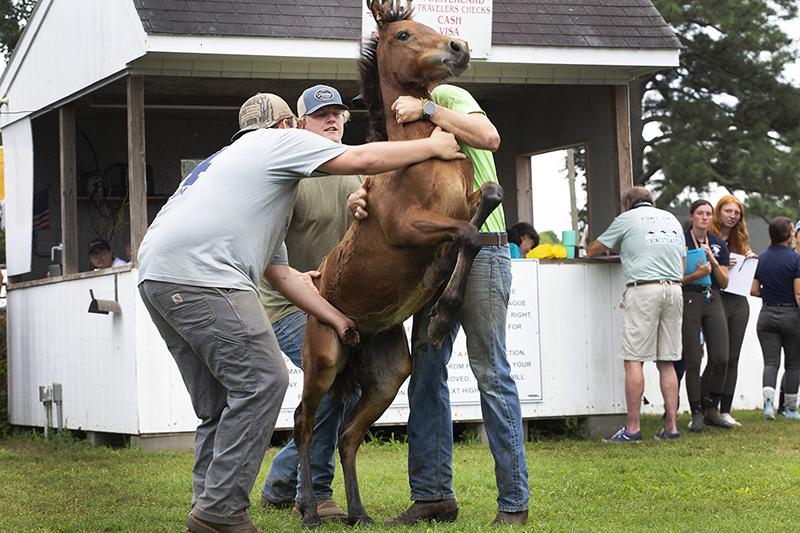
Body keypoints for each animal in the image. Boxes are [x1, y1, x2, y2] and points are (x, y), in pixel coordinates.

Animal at [294, 0, 504, 524]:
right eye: (404, 34)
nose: (459, 47)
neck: (420, 153)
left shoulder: (464, 201)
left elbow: (487, 202)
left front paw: (441, 294)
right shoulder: (408, 227)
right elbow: (467, 233)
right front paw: (442, 315)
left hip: (389, 375)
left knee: (347, 434)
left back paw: (358, 513)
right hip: (323, 361)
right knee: (304, 423)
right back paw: (310, 511)